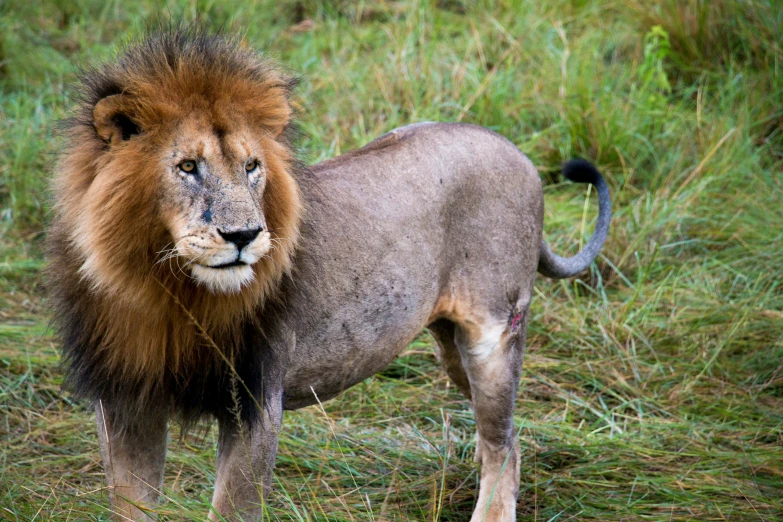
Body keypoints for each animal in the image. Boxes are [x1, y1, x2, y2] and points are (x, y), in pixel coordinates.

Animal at [47, 29, 612, 520]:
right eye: (187, 166)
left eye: (252, 166)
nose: (244, 235)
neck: (165, 291)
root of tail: (517, 151)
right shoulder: (125, 403)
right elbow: (131, 504)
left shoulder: (256, 402)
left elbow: (233, 508)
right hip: (451, 345)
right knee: (500, 432)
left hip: (492, 335)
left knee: (506, 443)